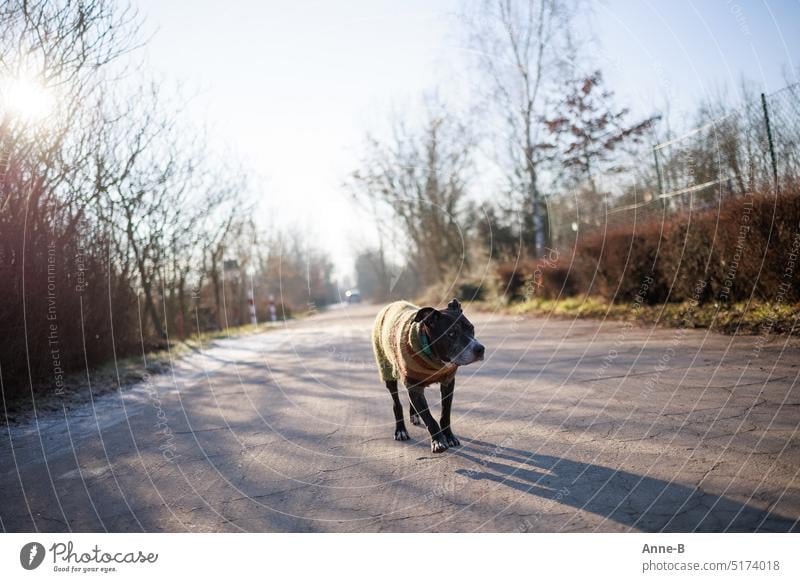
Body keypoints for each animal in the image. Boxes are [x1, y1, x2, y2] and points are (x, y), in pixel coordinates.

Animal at [372, 298, 484, 454]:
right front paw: (438, 441)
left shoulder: (448, 382)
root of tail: (392, 303)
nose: (480, 349)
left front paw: (449, 436)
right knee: (396, 403)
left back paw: (414, 415)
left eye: (472, 328)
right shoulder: (414, 387)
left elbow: (445, 414)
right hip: (387, 370)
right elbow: (429, 419)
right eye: (451, 334)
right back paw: (400, 430)